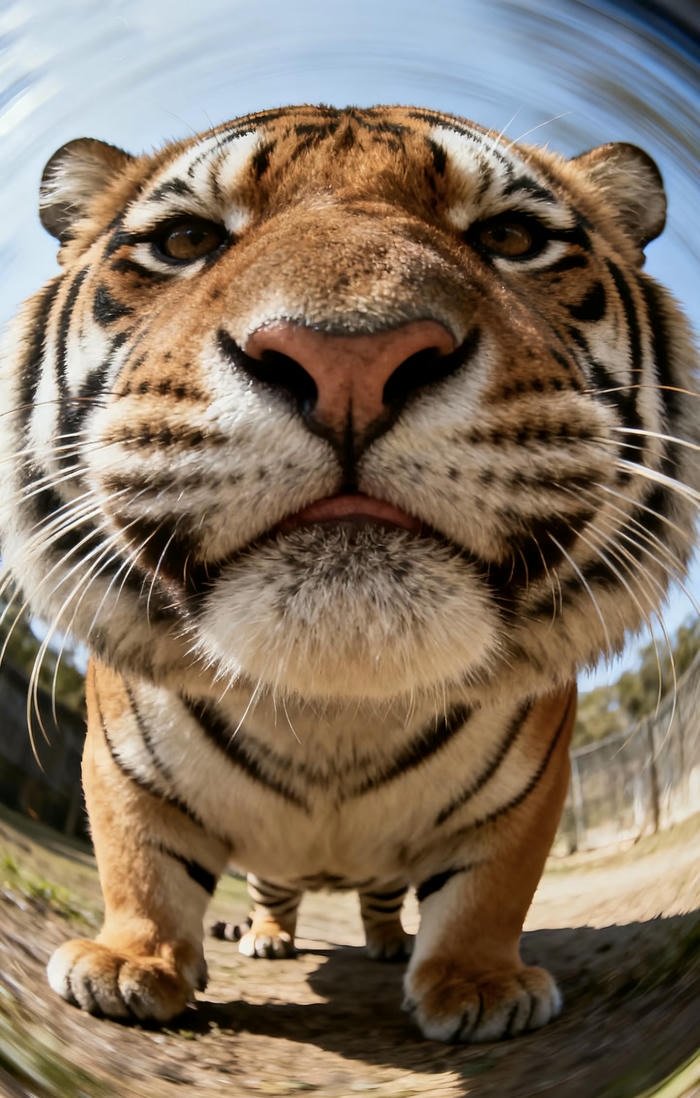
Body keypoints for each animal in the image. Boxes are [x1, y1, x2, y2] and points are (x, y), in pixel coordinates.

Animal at [0, 104, 695, 1044]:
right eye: (184, 241)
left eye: (512, 237)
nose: (350, 362)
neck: (336, 711)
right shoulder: (123, 770)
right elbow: (138, 862)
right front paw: (126, 964)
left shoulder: (528, 792)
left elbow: (489, 890)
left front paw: (480, 985)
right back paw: (266, 936)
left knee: (380, 898)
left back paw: (388, 942)